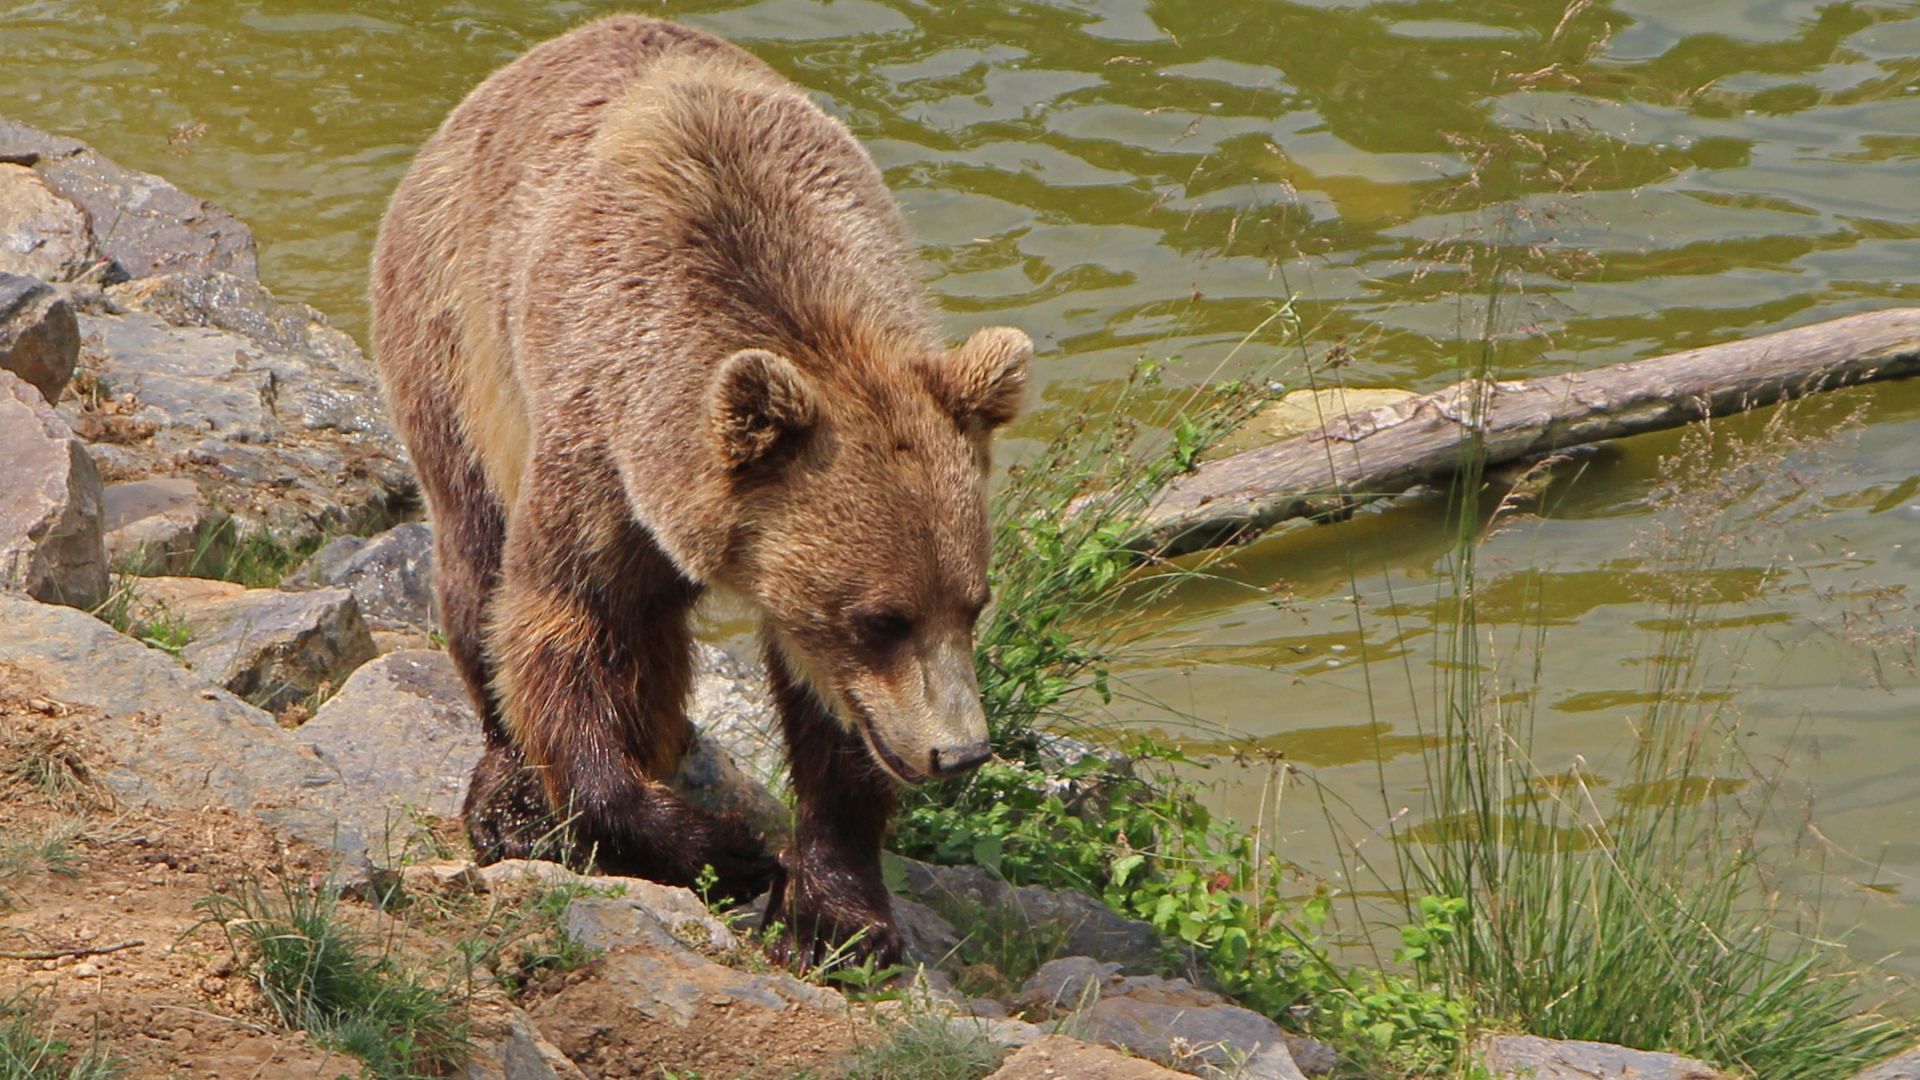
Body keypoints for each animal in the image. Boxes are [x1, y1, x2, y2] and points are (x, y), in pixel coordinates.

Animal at [364, 14, 1029, 957]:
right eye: (881, 619)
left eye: (974, 603)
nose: (959, 751)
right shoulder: (597, 444)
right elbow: (563, 624)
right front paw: (721, 847)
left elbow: (832, 718)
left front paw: (834, 916)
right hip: (450, 337)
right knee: (475, 564)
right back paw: (511, 794)